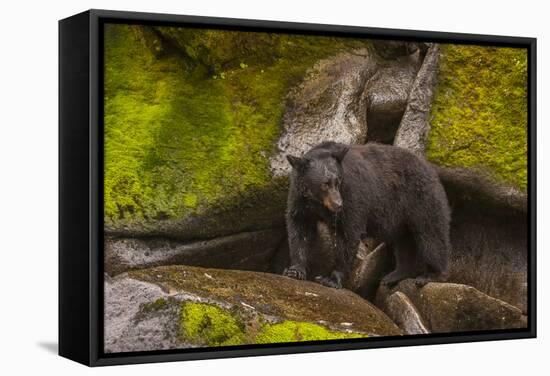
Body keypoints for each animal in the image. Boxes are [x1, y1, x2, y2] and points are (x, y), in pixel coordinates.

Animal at [284, 141, 452, 288]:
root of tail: (430, 168)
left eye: (338, 181)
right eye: (325, 184)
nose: (338, 204)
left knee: (431, 235)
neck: (317, 202)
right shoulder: (300, 201)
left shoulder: (351, 195)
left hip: (421, 199)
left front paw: (331, 279)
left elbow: (347, 234)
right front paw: (295, 270)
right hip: (403, 219)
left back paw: (431, 275)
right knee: (404, 243)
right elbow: (300, 230)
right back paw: (395, 275)